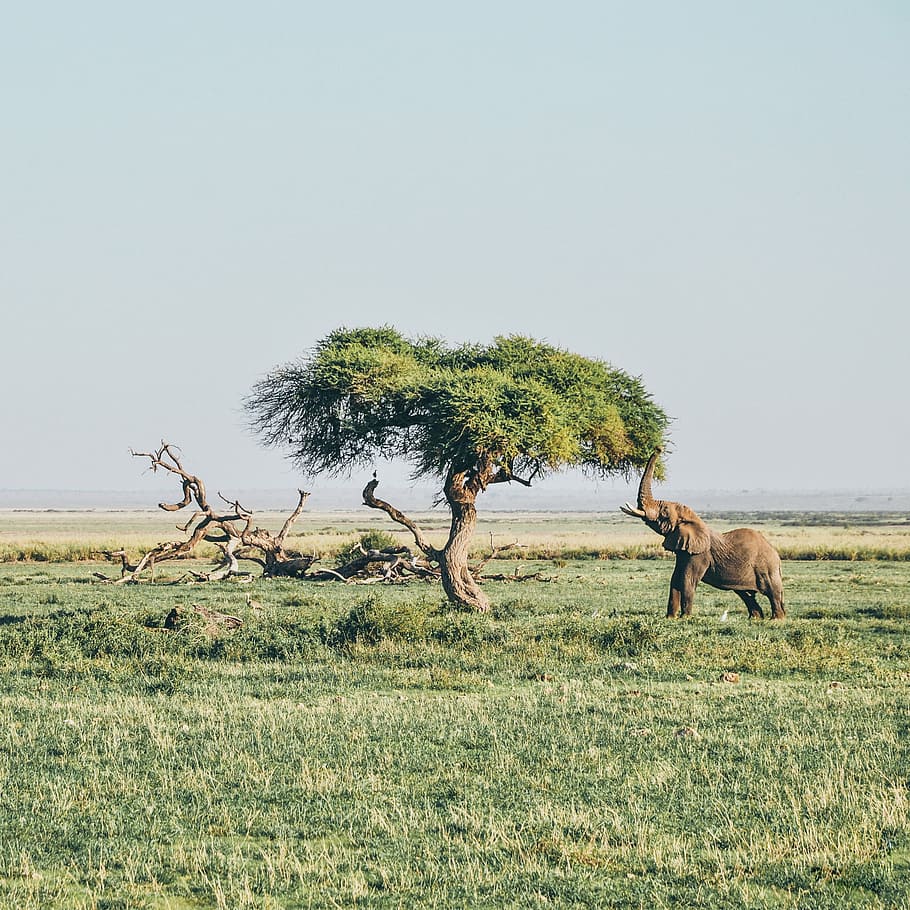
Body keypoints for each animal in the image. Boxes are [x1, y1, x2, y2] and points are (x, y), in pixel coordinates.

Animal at [620, 449, 785, 619]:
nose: (659, 448)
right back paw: (755, 618)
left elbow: (687, 580)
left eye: (664, 512)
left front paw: (685, 618)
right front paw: (670, 618)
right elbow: (675, 578)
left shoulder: (699, 554)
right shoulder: (684, 550)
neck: (693, 519)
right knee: (745, 594)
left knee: (773, 592)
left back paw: (776, 620)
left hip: (767, 568)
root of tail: (776, 554)